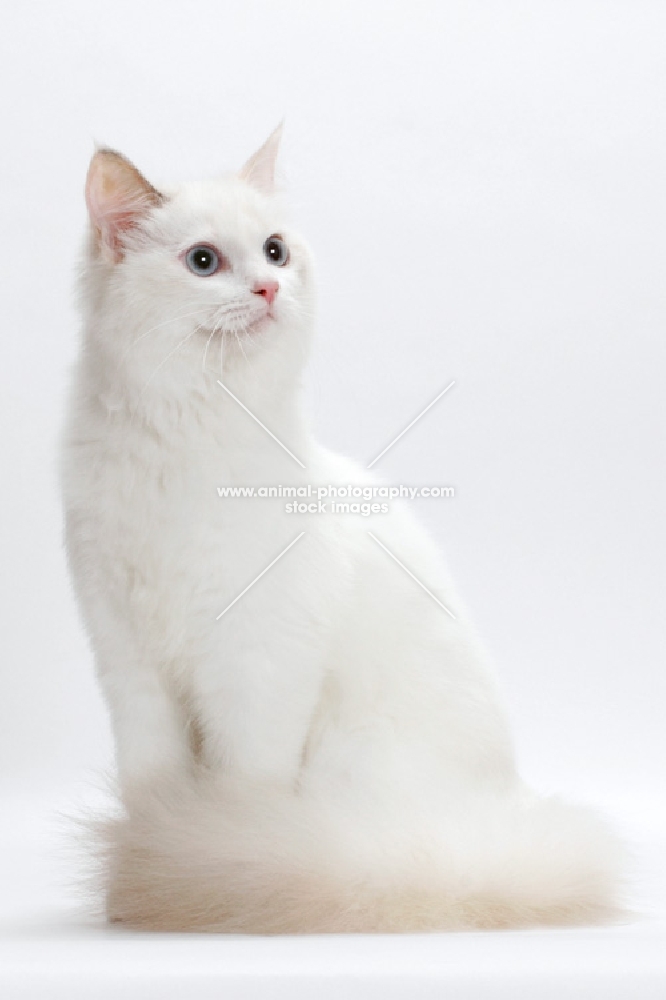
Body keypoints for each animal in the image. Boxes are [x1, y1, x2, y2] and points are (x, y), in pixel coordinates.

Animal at [59, 127, 620, 936]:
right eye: (204, 262)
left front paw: (209, 872)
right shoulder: (129, 666)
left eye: (275, 251)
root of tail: (499, 824)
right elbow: (149, 790)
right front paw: (132, 894)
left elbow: (240, 801)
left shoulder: (257, 670)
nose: (268, 289)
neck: (185, 445)